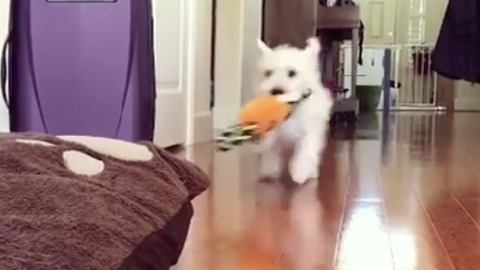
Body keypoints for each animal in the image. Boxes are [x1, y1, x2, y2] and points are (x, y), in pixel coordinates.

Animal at [256, 37, 332, 185]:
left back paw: (311, 173)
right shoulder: (273, 132)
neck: (290, 108)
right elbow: (271, 149)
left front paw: (300, 172)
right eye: (268, 73)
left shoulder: (309, 130)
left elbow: (305, 151)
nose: (276, 91)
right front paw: (270, 169)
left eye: (292, 73)